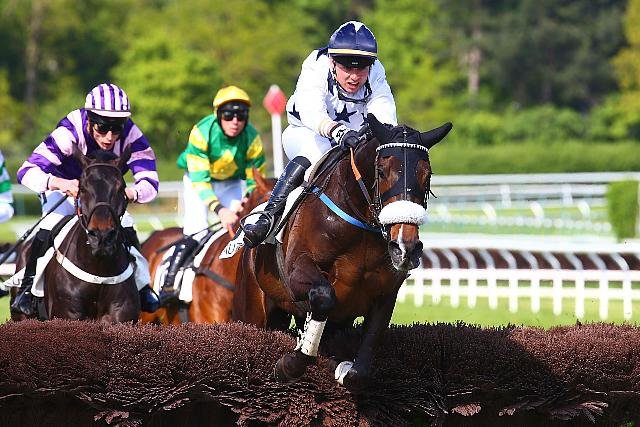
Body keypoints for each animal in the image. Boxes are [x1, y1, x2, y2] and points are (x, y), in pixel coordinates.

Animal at [234, 114, 451, 392]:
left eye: (427, 175)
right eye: (382, 171)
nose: (405, 247)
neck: (359, 220)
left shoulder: (383, 294)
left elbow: (359, 368)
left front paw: (340, 368)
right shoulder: (298, 272)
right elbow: (323, 296)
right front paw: (289, 364)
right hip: (253, 309)